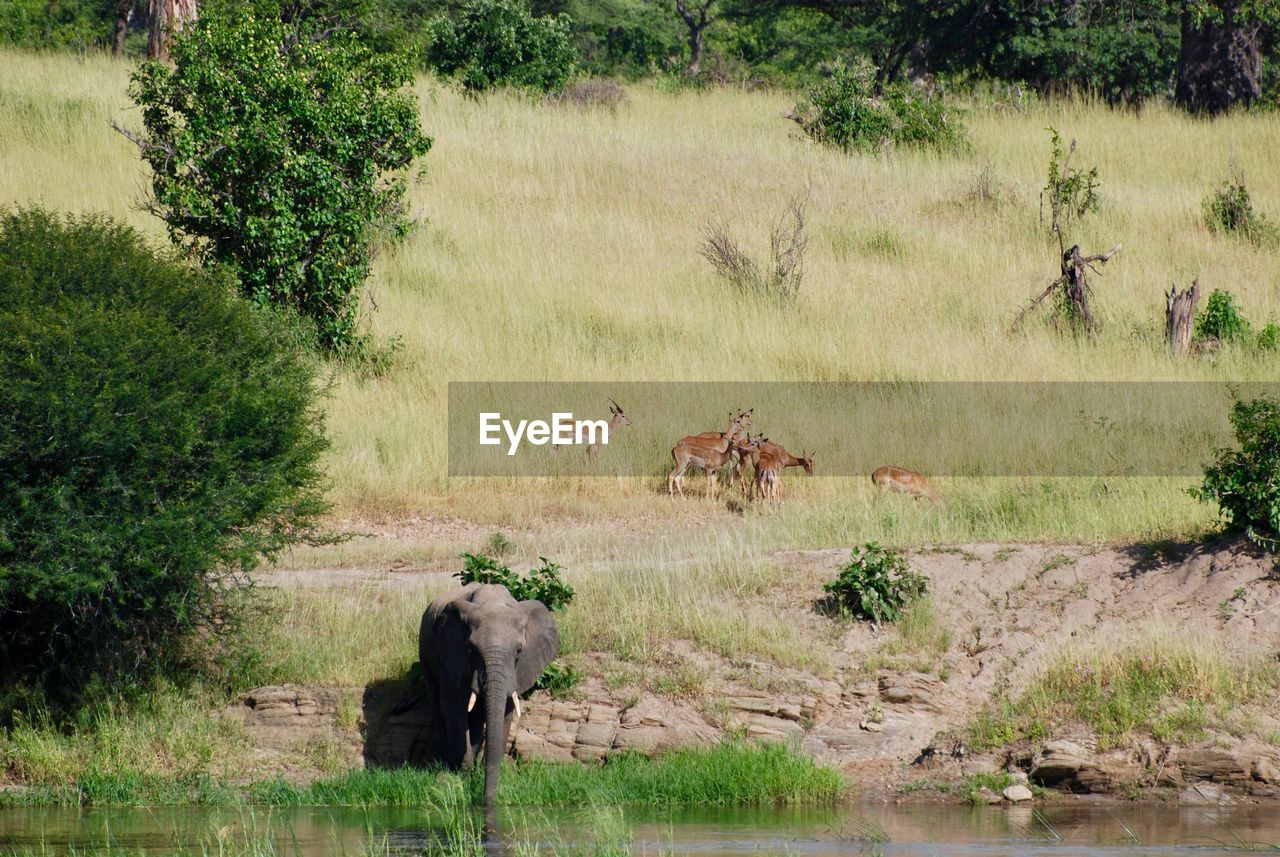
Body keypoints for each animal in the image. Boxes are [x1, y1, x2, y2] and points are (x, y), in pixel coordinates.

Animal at [419, 583, 560, 808]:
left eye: (519, 651)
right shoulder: (452, 654)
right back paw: (444, 763)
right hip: (424, 649)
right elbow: (452, 707)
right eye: (470, 650)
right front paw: (463, 776)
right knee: (436, 701)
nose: (485, 802)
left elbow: (506, 711)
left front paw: (477, 773)